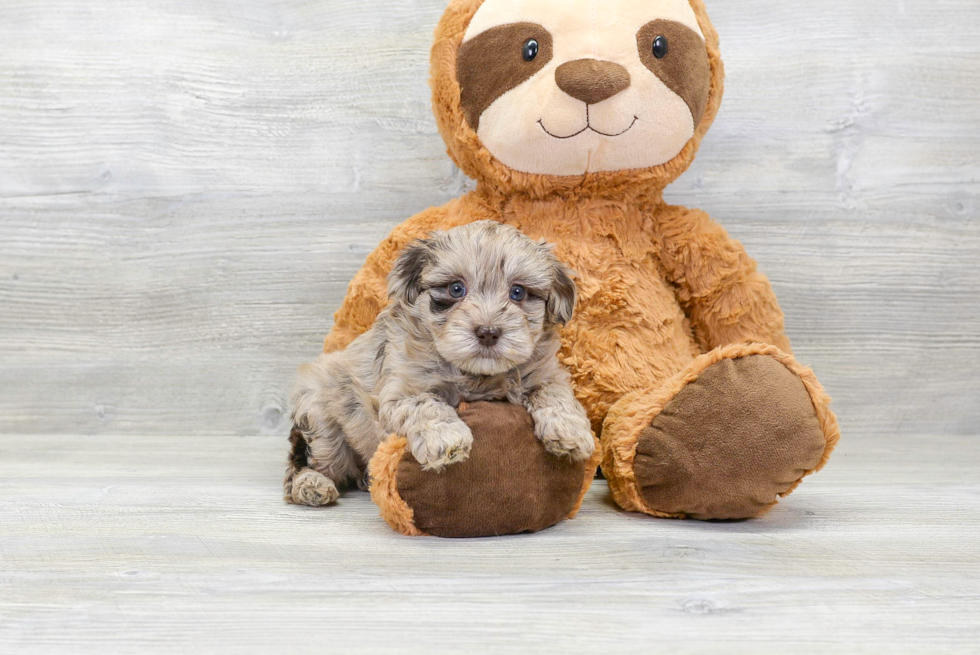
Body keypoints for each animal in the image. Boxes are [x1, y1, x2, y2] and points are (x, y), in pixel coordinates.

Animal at [282, 220, 588, 508]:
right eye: (456, 288)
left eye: (518, 293)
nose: (488, 332)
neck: (477, 375)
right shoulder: (400, 391)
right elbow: (426, 405)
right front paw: (447, 439)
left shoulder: (544, 373)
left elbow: (555, 393)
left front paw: (570, 431)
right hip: (320, 418)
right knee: (306, 462)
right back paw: (312, 485)